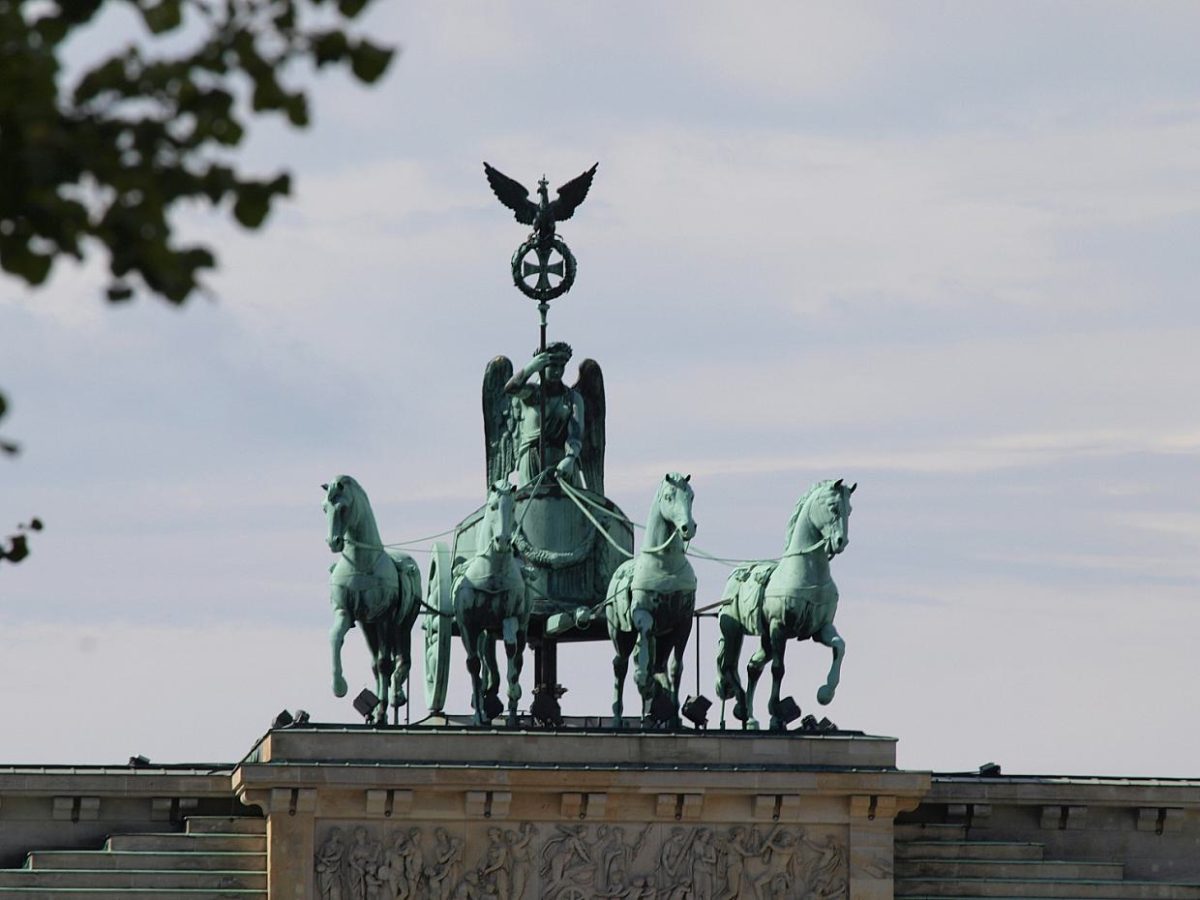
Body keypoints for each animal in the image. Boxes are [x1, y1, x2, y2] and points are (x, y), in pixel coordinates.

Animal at [324, 480, 422, 724]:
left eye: (342, 508)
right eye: (324, 508)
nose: (333, 542)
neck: (361, 562)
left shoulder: (384, 618)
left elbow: (385, 664)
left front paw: (382, 709)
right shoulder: (346, 613)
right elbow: (335, 637)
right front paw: (339, 686)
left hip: (402, 624)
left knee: (400, 660)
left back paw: (394, 697)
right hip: (368, 626)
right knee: (376, 664)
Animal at [451, 482, 530, 729]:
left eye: (513, 507)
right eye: (494, 506)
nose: (503, 542)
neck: (492, 573)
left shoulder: (509, 617)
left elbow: (511, 653)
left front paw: (512, 697)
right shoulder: (468, 625)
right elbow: (474, 664)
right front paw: (478, 714)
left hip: (518, 625)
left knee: (518, 657)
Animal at [609, 475, 696, 729]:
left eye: (691, 496)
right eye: (668, 496)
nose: (688, 527)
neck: (665, 565)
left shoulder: (683, 623)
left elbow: (676, 668)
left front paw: (675, 717)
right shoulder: (642, 616)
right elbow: (643, 648)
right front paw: (643, 682)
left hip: (664, 638)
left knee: (658, 668)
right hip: (620, 633)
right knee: (620, 664)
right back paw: (618, 717)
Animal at [710, 480, 854, 734]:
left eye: (850, 510)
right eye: (833, 507)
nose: (840, 542)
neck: (806, 572)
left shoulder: (821, 629)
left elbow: (840, 646)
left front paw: (825, 693)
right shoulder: (780, 627)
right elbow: (779, 669)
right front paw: (776, 715)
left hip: (764, 638)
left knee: (752, 666)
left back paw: (750, 718)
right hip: (734, 632)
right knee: (729, 665)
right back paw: (742, 709)